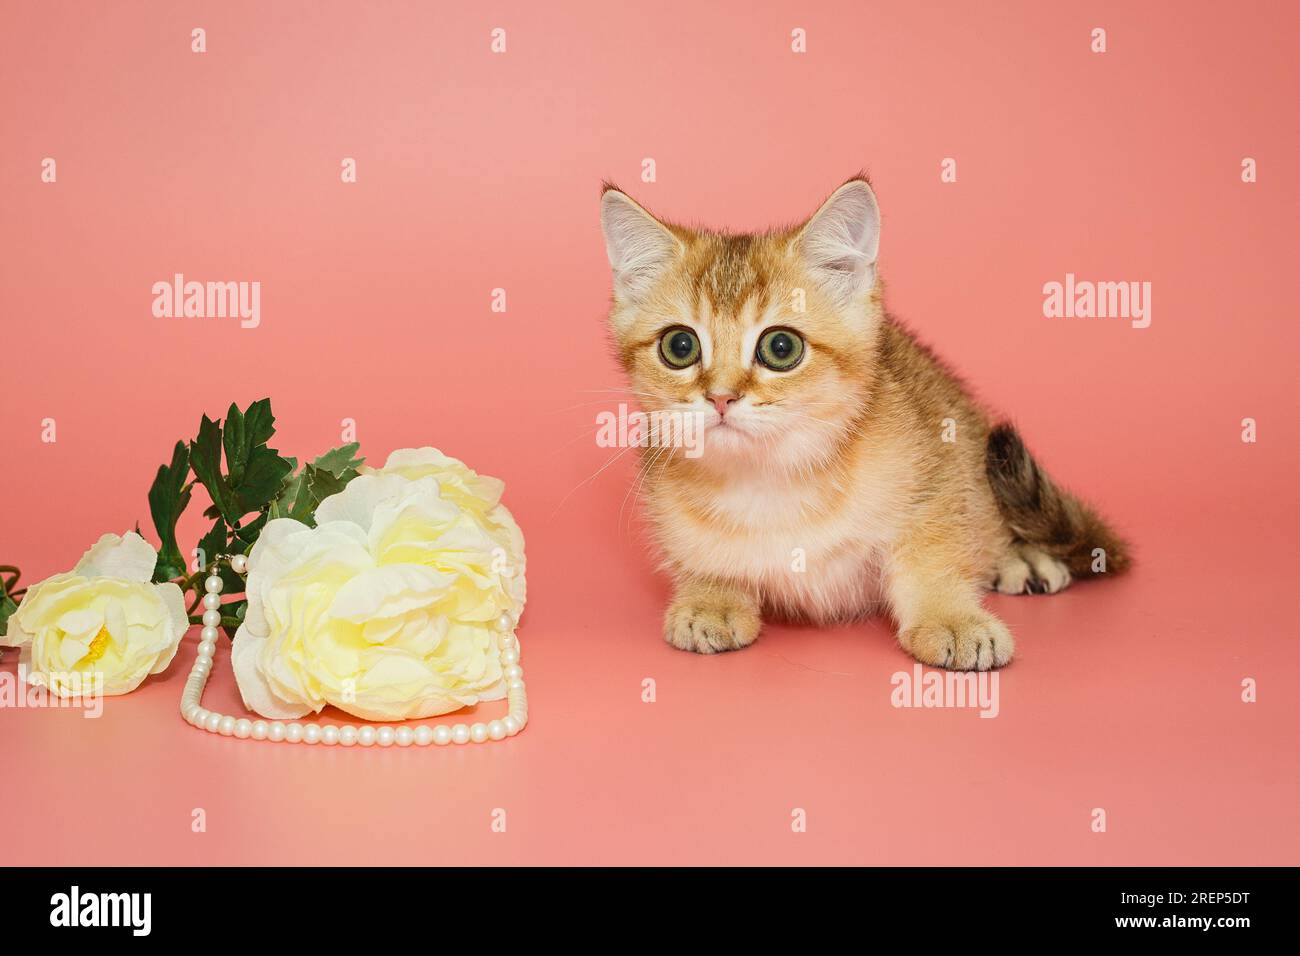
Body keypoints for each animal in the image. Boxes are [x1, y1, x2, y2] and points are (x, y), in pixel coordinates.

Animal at [598, 175, 1128, 671]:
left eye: (781, 347)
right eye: (680, 346)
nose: (721, 397)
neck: (771, 476)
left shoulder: (936, 473)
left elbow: (932, 556)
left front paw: (951, 618)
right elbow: (700, 554)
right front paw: (711, 596)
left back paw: (1023, 558)